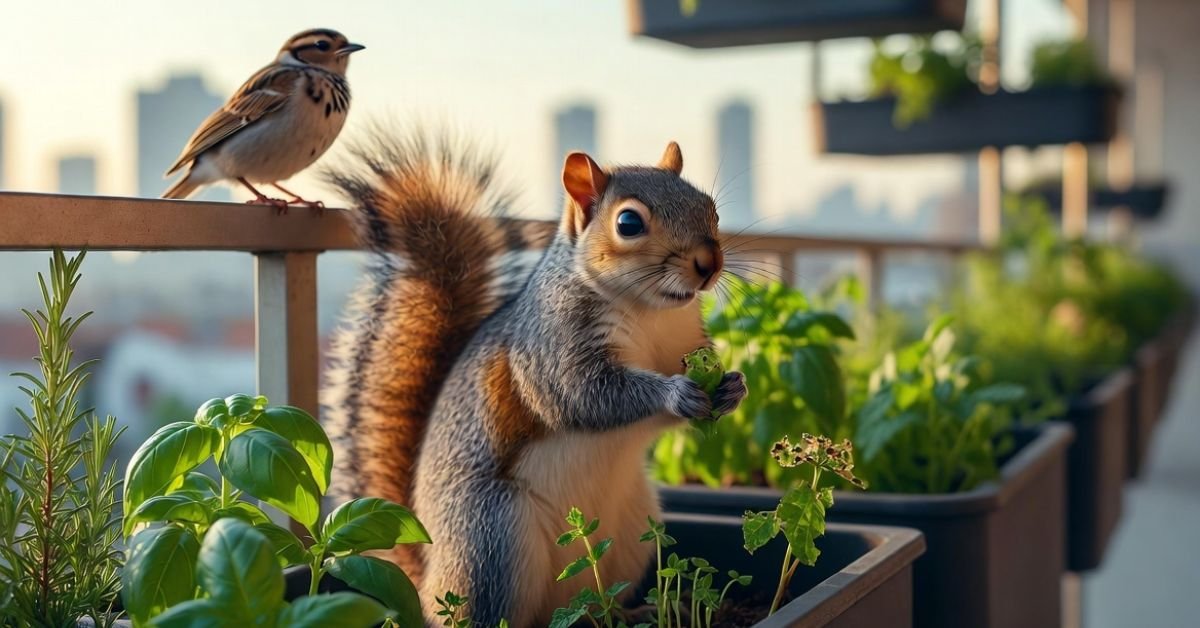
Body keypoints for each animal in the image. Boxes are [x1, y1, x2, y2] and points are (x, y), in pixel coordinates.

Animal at [322, 130, 747, 627]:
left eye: (710, 208)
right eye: (628, 222)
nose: (709, 262)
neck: (649, 312)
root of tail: (427, 577)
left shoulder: (685, 342)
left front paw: (734, 388)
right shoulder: (550, 351)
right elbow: (587, 394)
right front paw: (673, 394)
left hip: (632, 527)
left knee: (597, 602)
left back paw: (637, 612)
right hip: (492, 539)